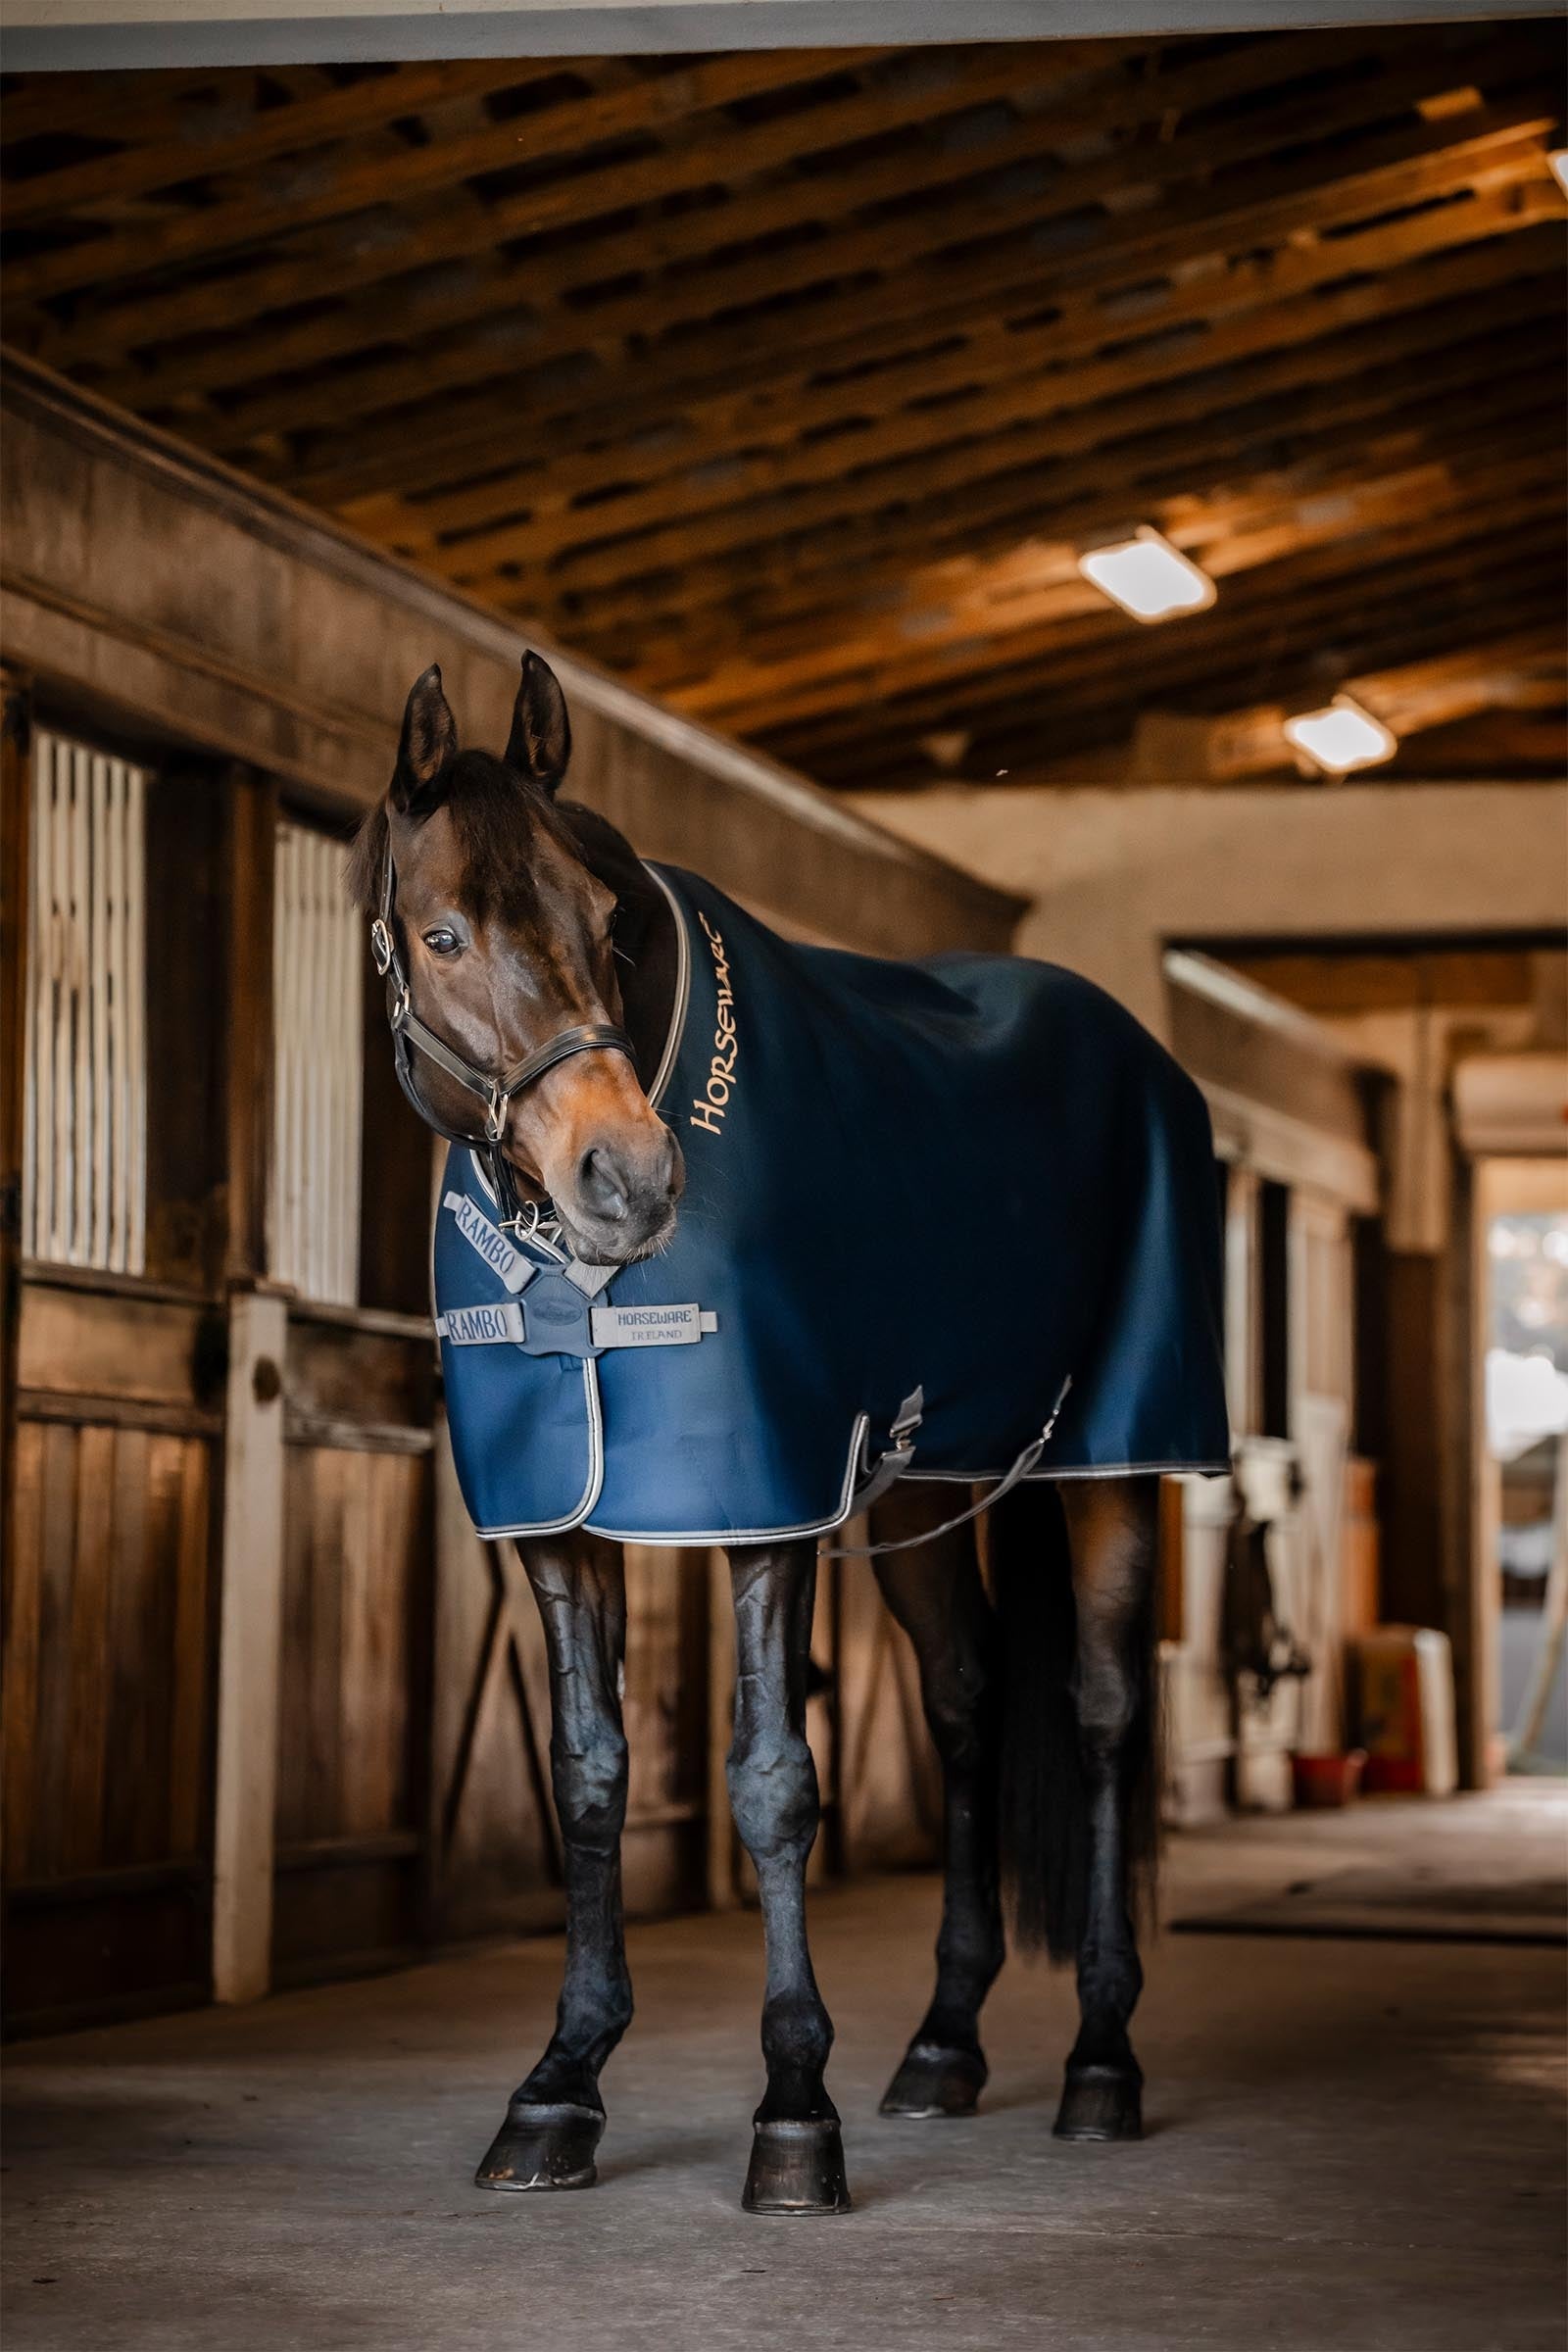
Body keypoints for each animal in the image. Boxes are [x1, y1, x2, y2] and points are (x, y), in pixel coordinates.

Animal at [349, 652, 1230, 2216]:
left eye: (602, 921)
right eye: (441, 932)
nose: (629, 1180)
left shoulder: (766, 1507)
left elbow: (772, 1784)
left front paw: (794, 2110)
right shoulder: (559, 1531)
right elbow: (587, 1778)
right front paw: (559, 2084)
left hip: (1112, 1471)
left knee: (1104, 1715)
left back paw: (1099, 2064)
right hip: (924, 1494)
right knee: (965, 1703)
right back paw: (943, 2047)